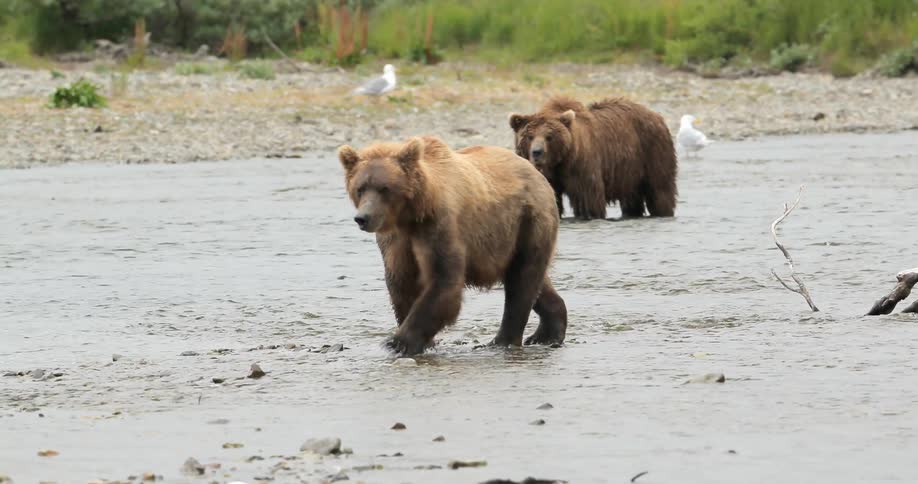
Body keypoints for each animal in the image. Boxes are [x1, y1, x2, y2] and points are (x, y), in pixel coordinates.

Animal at [338, 135, 568, 356]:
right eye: (360, 188)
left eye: (384, 188)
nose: (363, 218)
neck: (412, 216)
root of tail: (537, 174)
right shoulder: (396, 241)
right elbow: (401, 282)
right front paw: (423, 341)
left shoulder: (440, 226)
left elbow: (444, 281)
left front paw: (397, 343)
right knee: (534, 281)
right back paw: (546, 332)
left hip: (528, 221)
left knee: (521, 281)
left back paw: (502, 342)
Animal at [509, 96, 678, 220]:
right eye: (529, 136)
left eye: (549, 136)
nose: (537, 152)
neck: (559, 161)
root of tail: (657, 115)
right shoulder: (549, 177)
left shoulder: (581, 166)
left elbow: (588, 198)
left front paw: (588, 214)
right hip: (630, 171)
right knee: (632, 197)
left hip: (653, 151)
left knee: (660, 189)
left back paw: (662, 212)